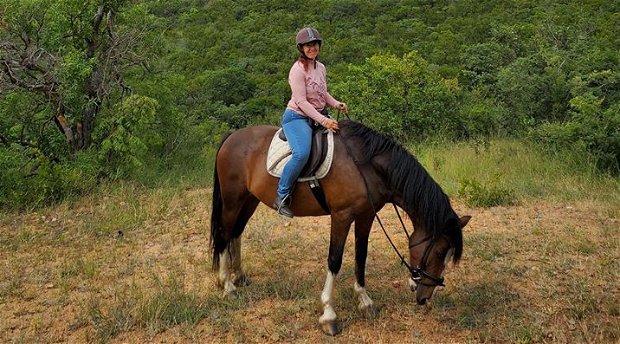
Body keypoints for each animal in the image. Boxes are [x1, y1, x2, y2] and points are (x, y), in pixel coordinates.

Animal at [211, 119, 472, 334]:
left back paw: (239, 277)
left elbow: (360, 256)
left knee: (236, 234)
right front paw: (329, 315)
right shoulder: (341, 216)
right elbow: (334, 260)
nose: (425, 298)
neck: (364, 165)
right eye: (439, 251)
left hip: (249, 200)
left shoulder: (366, 215)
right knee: (224, 234)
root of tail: (232, 137)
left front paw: (365, 302)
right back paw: (227, 285)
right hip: (232, 201)